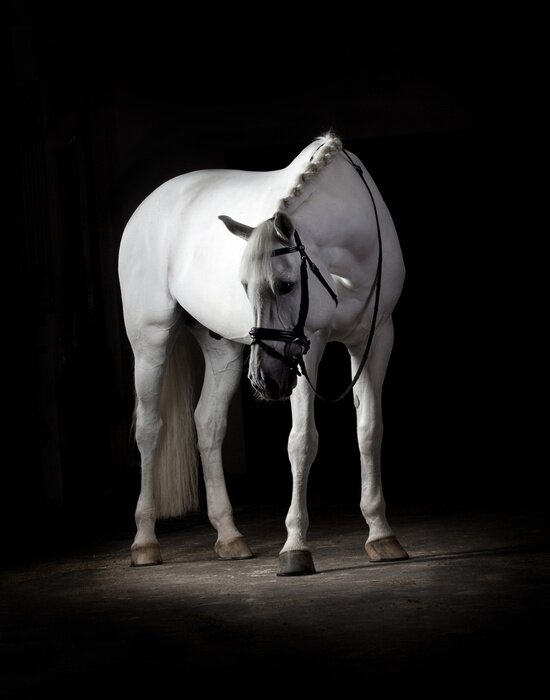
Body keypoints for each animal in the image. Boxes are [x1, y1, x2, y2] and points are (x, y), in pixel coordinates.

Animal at [118, 132, 409, 576]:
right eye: (244, 286)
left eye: (286, 285)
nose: (262, 380)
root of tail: (147, 204)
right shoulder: (309, 345)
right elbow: (302, 441)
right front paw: (295, 547)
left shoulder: (376, 340)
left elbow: (369, 431)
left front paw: (381, 534)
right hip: (149, 339)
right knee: (150, 429)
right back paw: (145, 542)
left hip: (221, 347)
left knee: (208, 424)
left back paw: (229, 536)